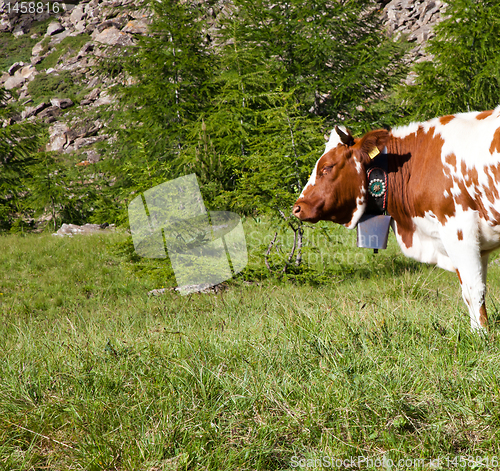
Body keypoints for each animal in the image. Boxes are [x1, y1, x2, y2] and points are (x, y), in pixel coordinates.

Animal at [292, 107, 500, 330]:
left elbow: (472, 289)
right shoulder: (479, 244)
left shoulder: (458, 227)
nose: (298, 207)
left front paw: (481, 334)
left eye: (327, 167)